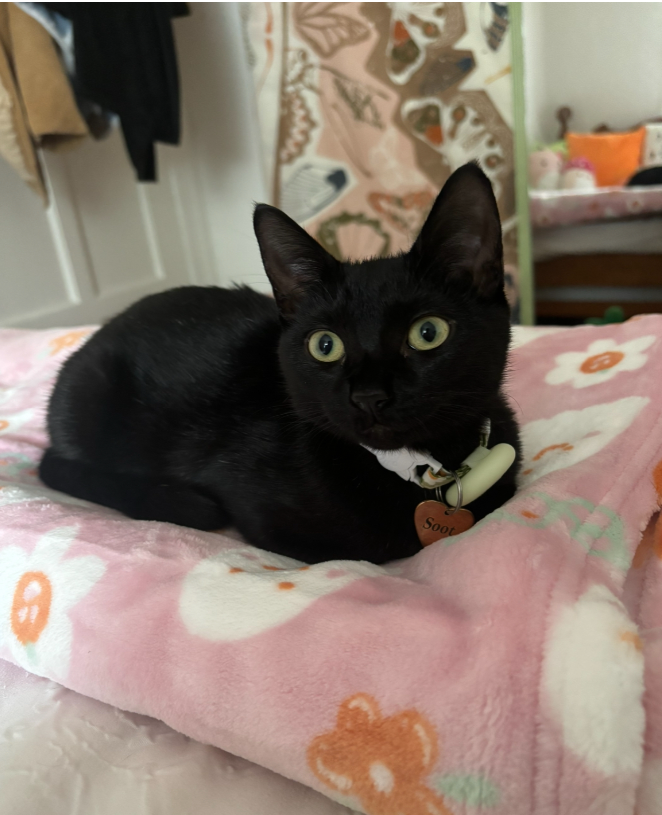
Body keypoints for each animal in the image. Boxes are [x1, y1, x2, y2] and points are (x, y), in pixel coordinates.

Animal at [39, 163, 520, 564]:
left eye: (428, 332)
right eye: (324, 345)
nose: (368, 396)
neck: (424, 470)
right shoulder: (264, 517)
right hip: (90, 393)